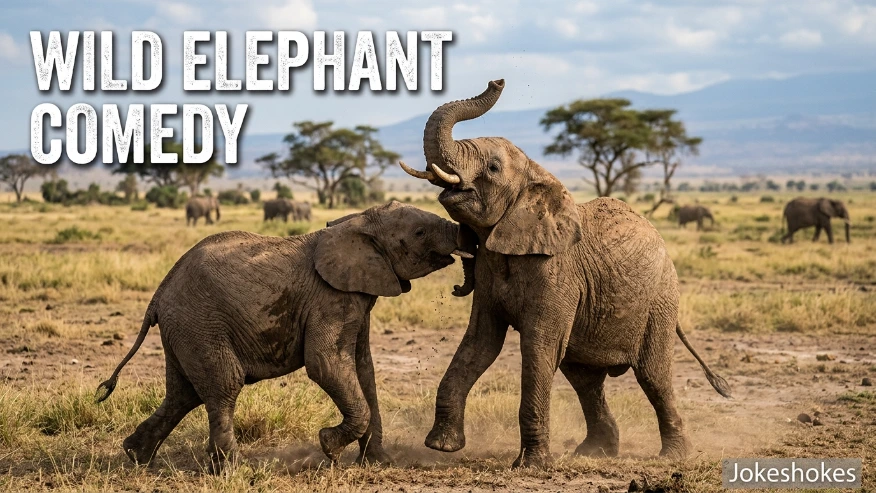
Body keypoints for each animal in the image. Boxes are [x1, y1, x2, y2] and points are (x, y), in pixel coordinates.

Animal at [95, 201, 474, 472]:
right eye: (420, 232)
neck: (358, 222)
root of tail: (158, 295)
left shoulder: (357, 294)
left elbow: (363, 369)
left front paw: (378, 463)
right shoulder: (330, 297)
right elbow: (325, 364)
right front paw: (328, 447)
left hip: (185, 330)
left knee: (183, 394)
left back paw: (136, 456)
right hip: (200, 323)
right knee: (223, 384)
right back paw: (232, 471)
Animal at [400, 80, 731, 467]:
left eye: (493, 168)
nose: (497, 81)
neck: (536, 176)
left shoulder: (557, 271)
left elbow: (539, 347)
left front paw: (531, 466)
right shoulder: (490, 270)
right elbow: (480, 341)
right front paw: (441, 446)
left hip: (660, 302)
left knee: (654, 375)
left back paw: (673, 457)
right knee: (585, 379)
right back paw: (596, 452)